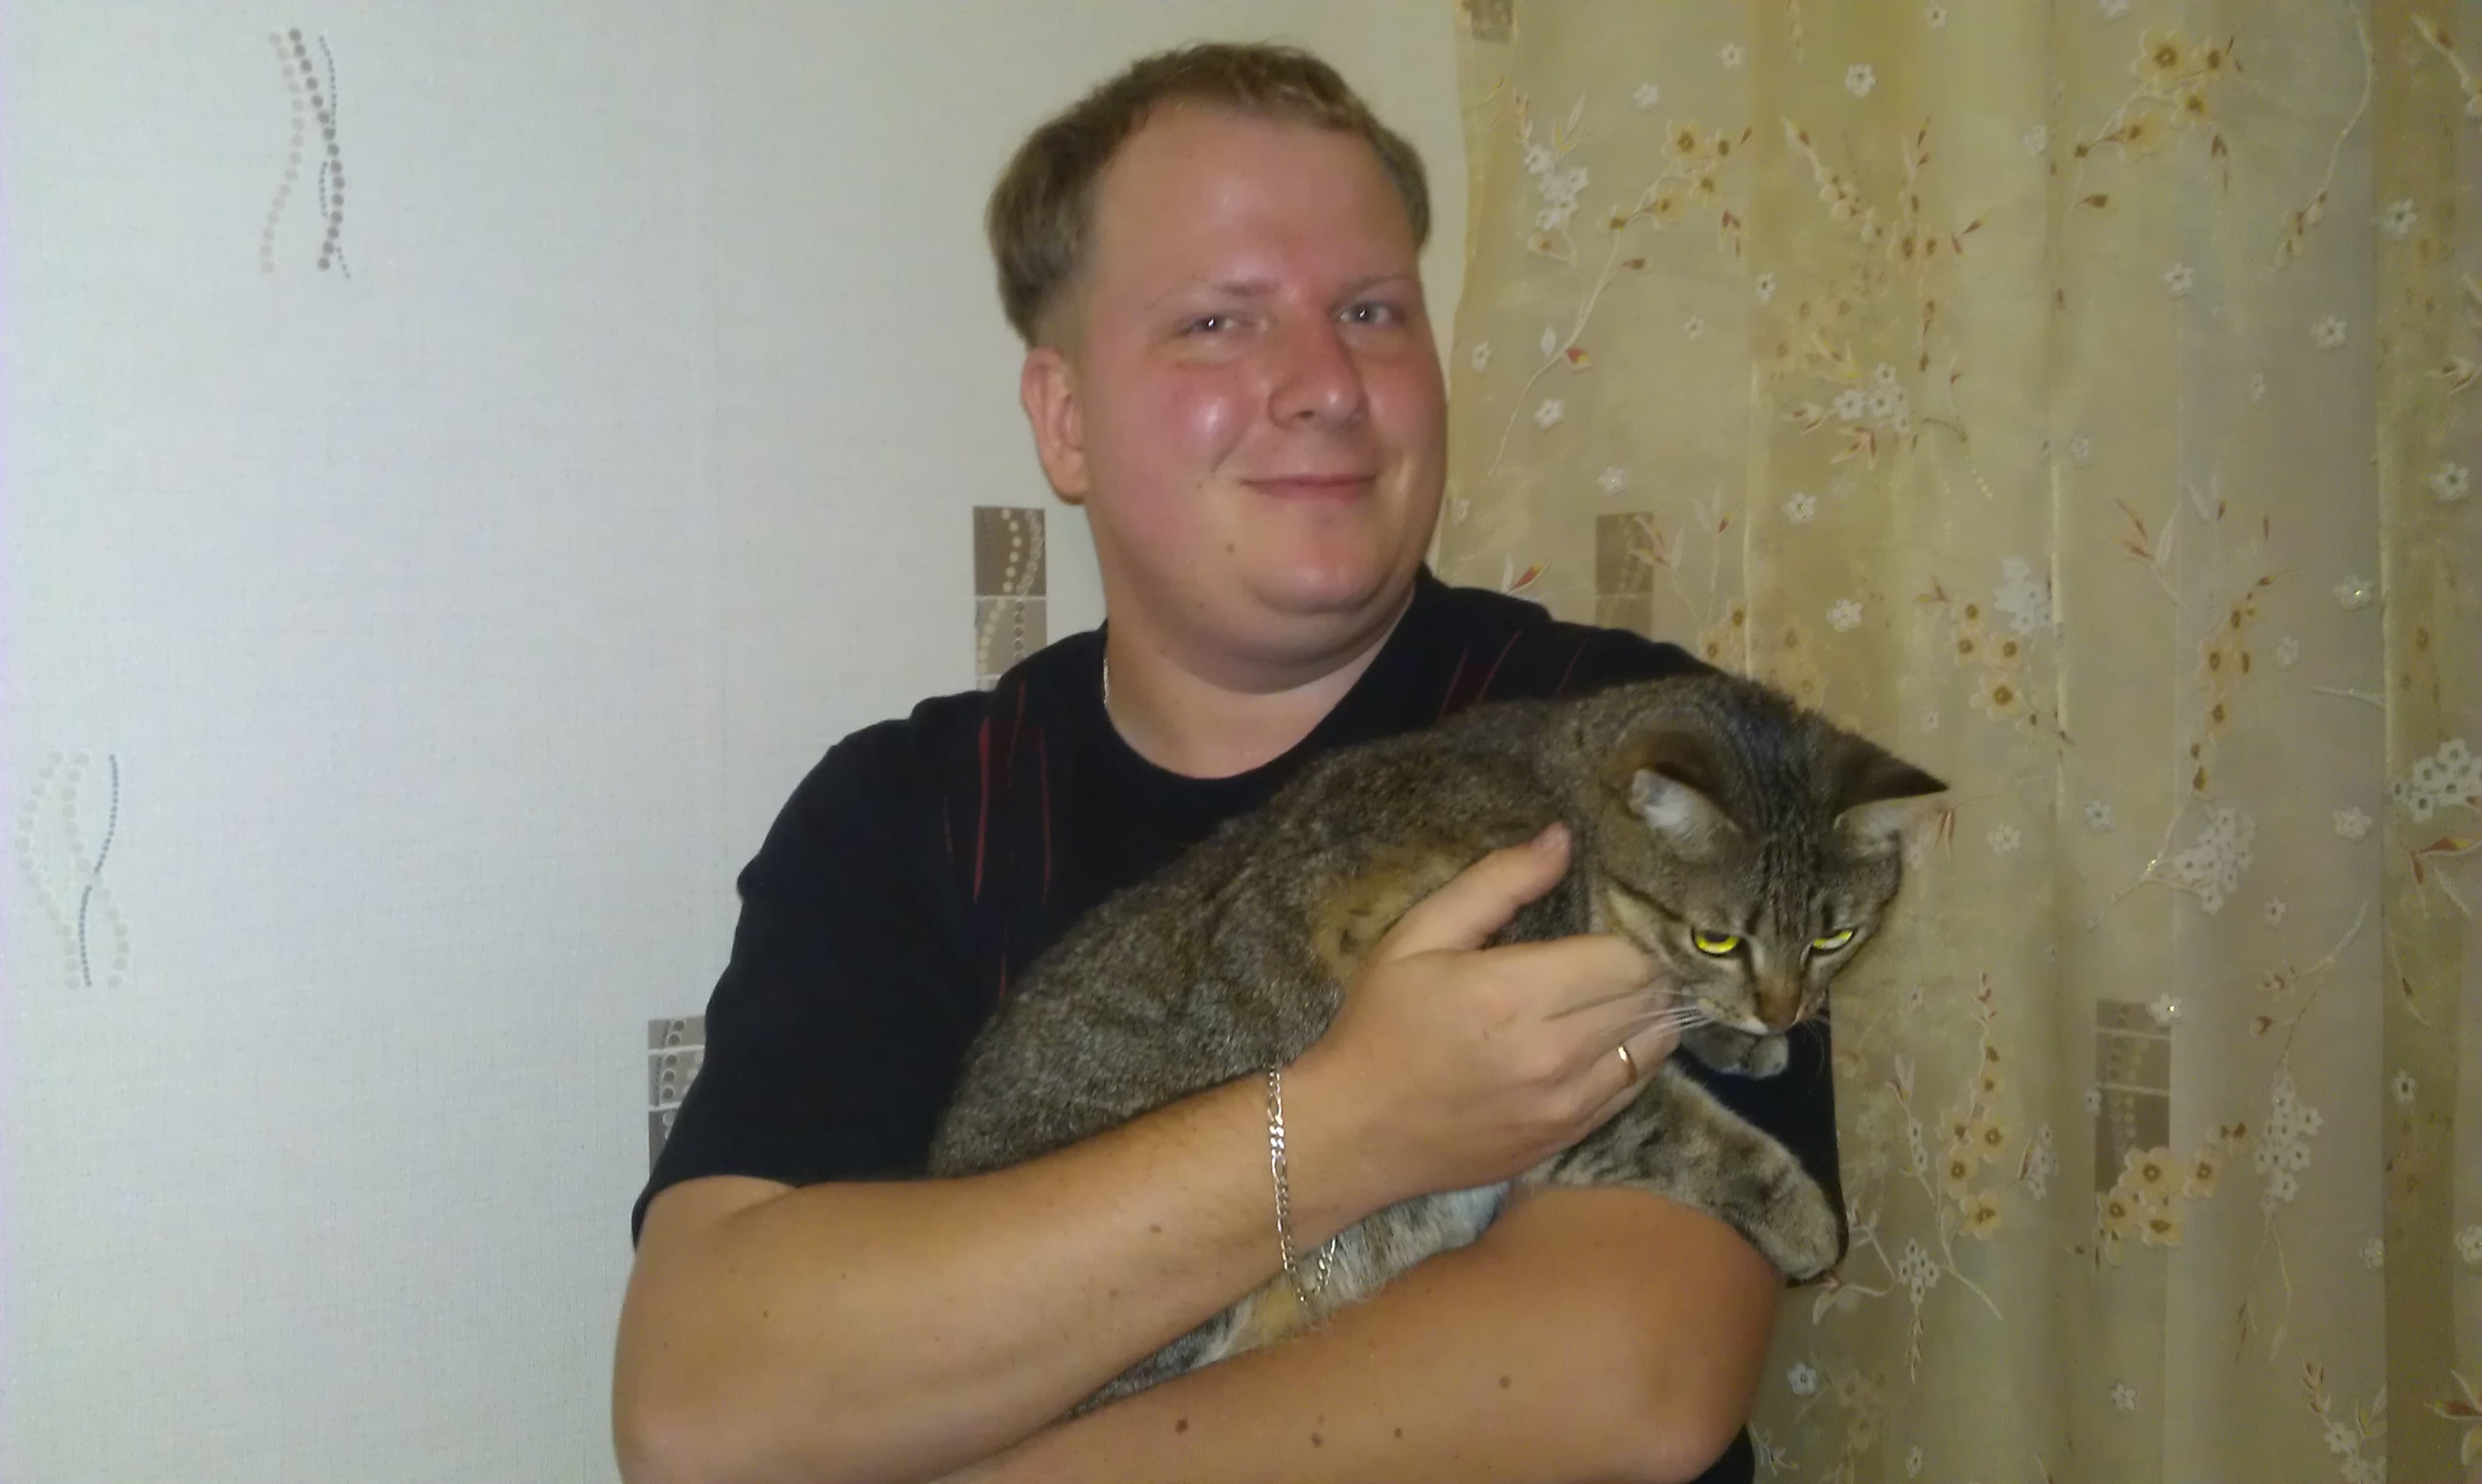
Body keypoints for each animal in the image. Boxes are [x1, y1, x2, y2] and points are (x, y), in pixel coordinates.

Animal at [927, 668, 1944, 1407]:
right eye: (1720, 936)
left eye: (1835, 939)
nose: (1784, 1011)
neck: (1565, 805)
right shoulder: (1543, 1072)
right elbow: (1691, 1130)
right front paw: (1803, 1217)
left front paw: (1741, 1039)